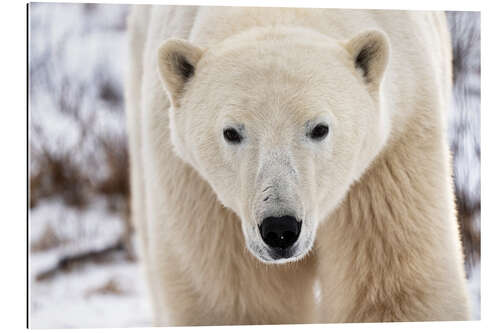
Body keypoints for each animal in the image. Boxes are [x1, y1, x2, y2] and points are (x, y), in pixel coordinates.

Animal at [126, 5, 472, 324]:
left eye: (319, 128)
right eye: (231, 132)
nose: (280, 229)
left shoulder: (394, 150)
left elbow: (397, 291)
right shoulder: (198, 190)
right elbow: (238, 301)